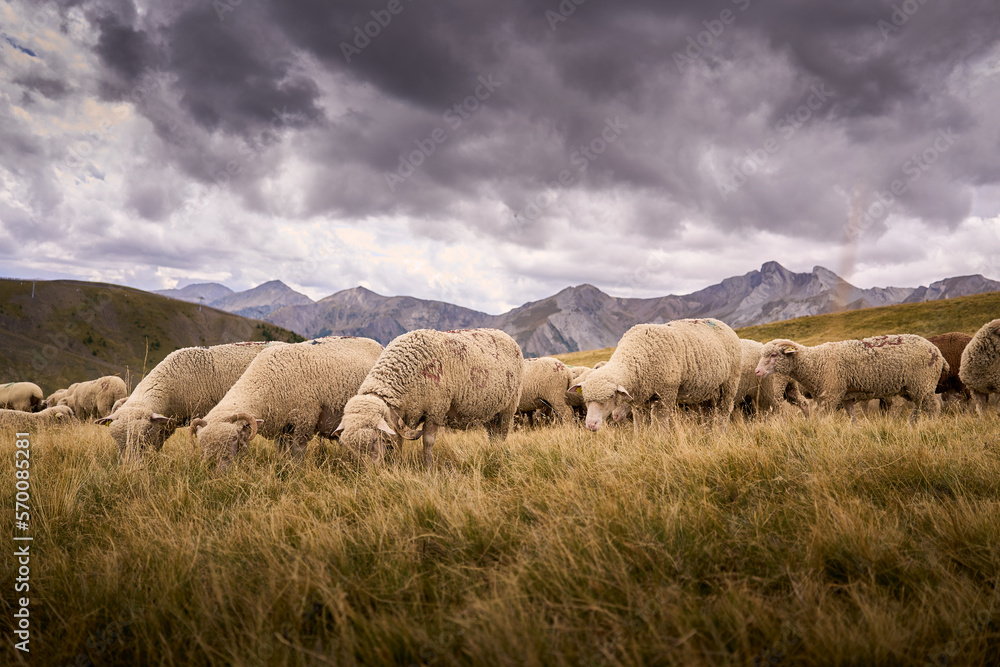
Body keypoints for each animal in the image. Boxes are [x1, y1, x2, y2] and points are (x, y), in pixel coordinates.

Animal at [191, 336, 384, 470]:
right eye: (202, 444)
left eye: (233, 438)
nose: (214, 470)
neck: (266, 382)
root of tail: (377, 343)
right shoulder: (282, 426)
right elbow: (282, 452)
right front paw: (283, 467)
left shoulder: (304, 419)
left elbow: (298, 452)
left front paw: (296, 472)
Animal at [334, 328, 524, 468]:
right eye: (350, 448)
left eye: (374, 439)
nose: (370, 473)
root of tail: (505, 334)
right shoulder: (402, 416)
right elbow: (398, 441)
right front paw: (397, 465)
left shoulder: (436, 410)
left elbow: (427, 442)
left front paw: (428, 468)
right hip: (490, 410)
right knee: (493, 435)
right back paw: (491, 452)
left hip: (509, 407)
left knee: (502, 434)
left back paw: (497, 456)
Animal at [569, 318, 742, 432]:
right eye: (586, 400)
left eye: (610, 397)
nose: (590, 425)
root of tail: (722, 323)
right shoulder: (639, 400)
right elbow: (640, 424)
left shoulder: (665, 395)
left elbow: (659, 423)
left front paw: (660, 442)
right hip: (706, 391)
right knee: (708, 413)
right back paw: (707, 433)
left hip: (729, 384)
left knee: (723, 411)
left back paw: (720, 433)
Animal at [755, 334, 947, 421]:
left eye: (773, 355)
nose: (757, 372)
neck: (815, 361)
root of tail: (937, 352)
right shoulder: (845, 397)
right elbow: (852, 417)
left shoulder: (830, 396)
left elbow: (823, 420)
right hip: (913, 388)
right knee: (919, 406)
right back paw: (911, 424)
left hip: (923, 383)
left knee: (933, 407)